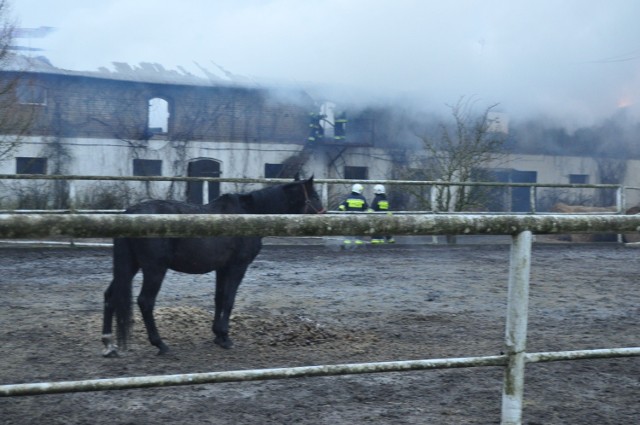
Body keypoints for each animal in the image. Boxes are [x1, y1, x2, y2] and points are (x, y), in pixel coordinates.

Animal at [102, 176, 322, 354]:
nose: (324, 215)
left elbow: (219, 298)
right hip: (154, 269)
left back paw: (108, 345)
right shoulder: (237, 266)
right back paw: (160, 344)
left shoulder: (222, 268)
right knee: (145, 302)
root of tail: (130, 213)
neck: (249, 215)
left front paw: (218, 335)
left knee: (111, 297)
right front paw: (225, 337)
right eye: (316, 195)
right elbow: (229, 300)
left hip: (130, 267)